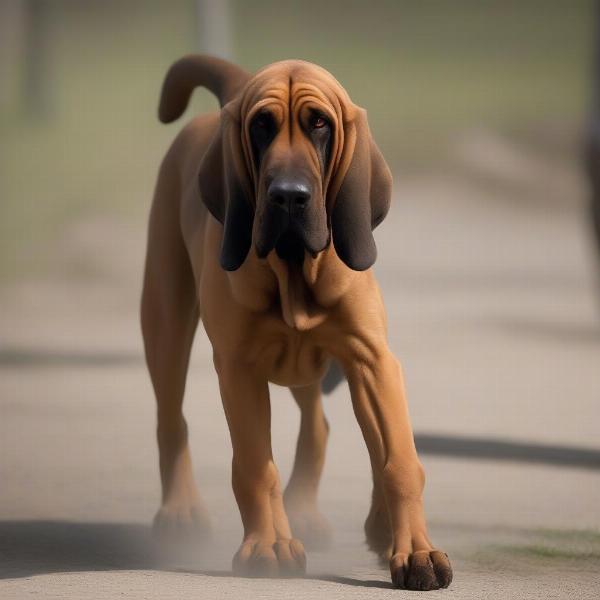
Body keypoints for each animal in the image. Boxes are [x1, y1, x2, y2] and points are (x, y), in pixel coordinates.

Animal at [139, 54, 450, 588]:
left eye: (319, 124)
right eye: (261, 126)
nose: (288, 197)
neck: (292, 269)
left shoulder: (371, 361)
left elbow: (399, 461)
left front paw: (415, 549)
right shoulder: (239, 371)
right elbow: (254, 467)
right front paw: (269, 544)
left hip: (314, 364)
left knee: (320, 424)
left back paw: (323, 513)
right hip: (165, 322)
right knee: (170, 419)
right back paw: (182, 511)